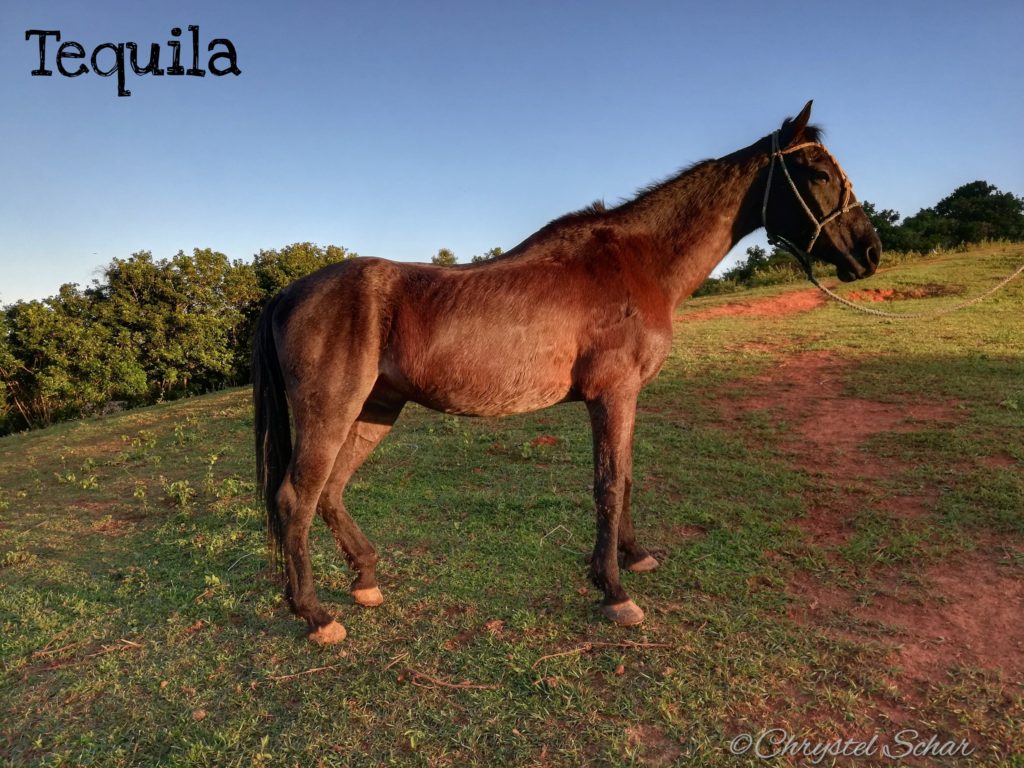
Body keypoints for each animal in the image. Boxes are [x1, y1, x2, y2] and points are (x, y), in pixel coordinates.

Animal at [253, 100, 881, 643]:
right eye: (817, 172)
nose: (870, 253)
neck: (637, 263)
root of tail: (287, 292)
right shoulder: (612, 395)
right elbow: (607, 485)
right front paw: (614, 591)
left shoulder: (626, 398)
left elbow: (625, 479)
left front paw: (635, 556)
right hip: (332, 411)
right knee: (295, 497)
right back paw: (315, 615)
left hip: (376, 409)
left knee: (330, 491)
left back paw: (365, 579)